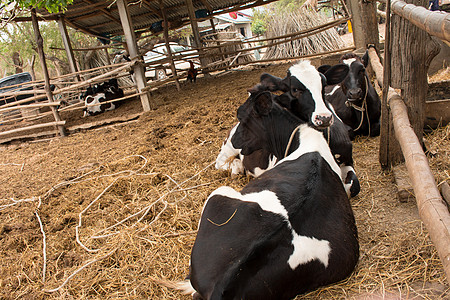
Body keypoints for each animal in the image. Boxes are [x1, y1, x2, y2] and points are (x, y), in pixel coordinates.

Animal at [216, 59, 360, 198]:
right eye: (294, 90)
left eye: (324, 86)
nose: (323, 117)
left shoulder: (347, 158)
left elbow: (353, 187)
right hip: (230, 147)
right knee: (221, 162)